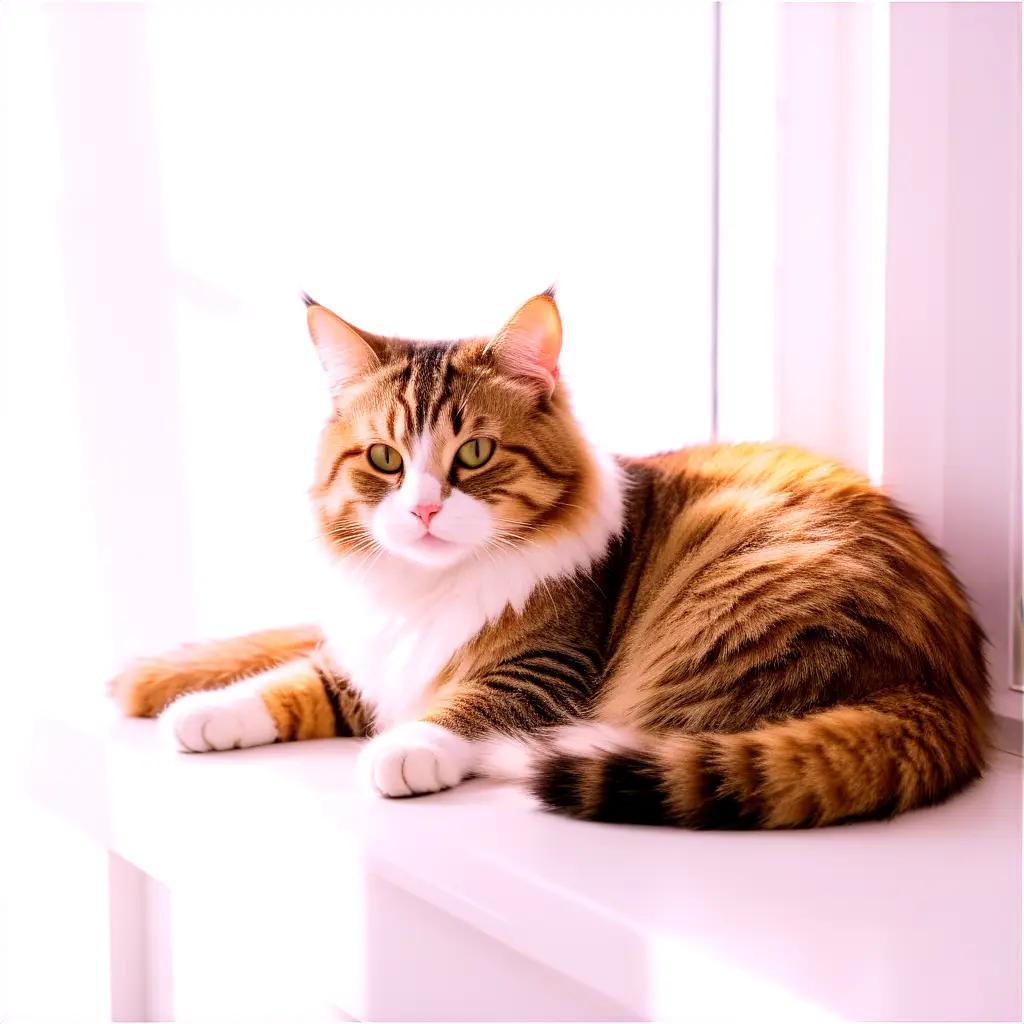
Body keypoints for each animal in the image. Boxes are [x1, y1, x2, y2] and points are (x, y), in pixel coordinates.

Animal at [108, 286, 987, 823]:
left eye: (474, 454)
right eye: (385, 460)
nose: (423, 508)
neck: (430, 589)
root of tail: (939, 689)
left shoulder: (550, 664)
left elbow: (463, 705)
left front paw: (404, 751)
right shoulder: (371, 659)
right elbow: (291, 679)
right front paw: (202, 712)